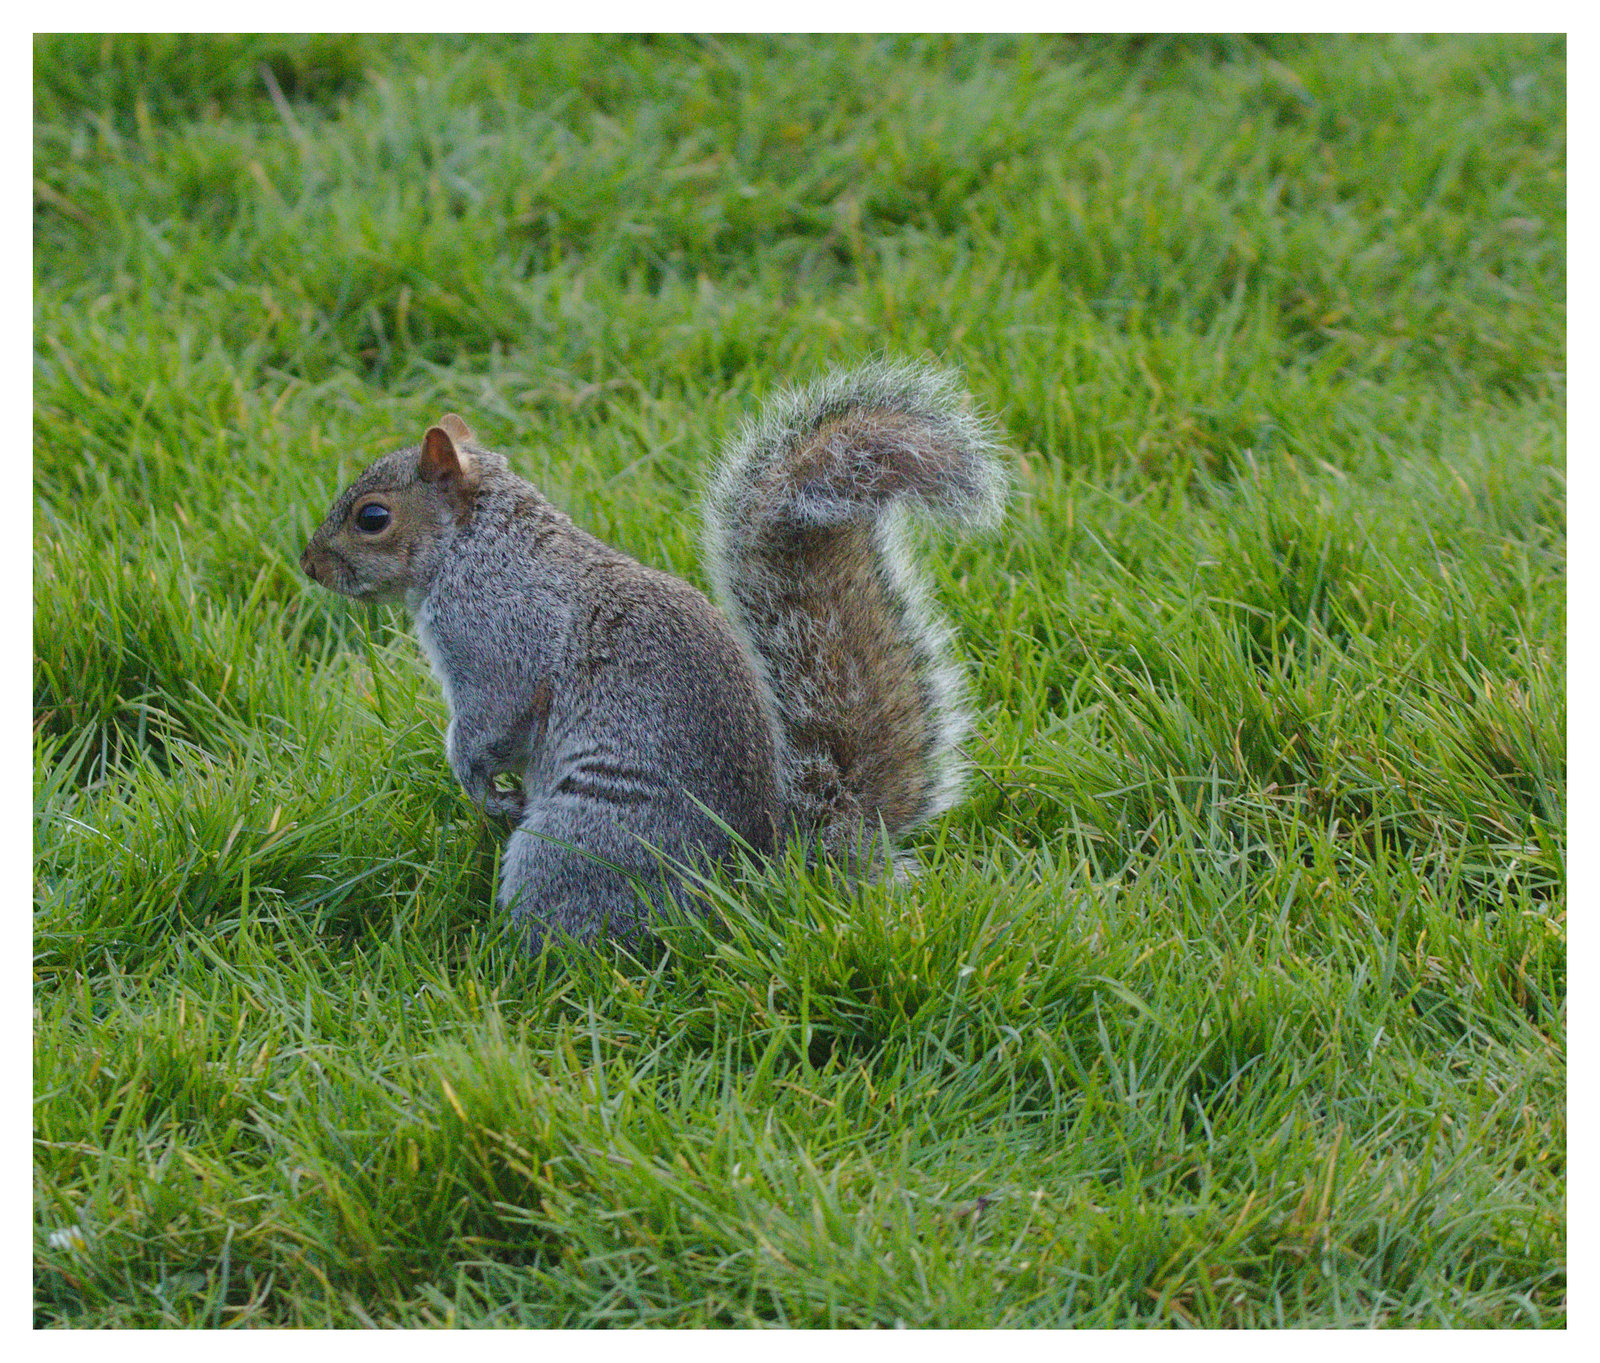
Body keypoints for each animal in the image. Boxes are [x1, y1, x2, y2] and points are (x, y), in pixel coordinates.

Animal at [300, 359, 1004, 947]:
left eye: (372, 518)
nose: (309, 565)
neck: (478, 542)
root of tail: (749, 886)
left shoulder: (497, 640)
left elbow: (487, 724)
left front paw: (476, 785)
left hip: (578, 845)